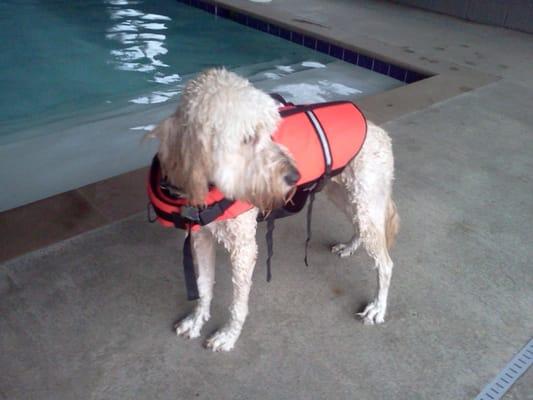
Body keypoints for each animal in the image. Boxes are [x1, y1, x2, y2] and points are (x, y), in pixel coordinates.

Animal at [148, 69, 396, 354]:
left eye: (270, 133)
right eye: (247, 138)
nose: (294, 176)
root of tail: (380, 133)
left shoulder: (243, 249)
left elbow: (237, 305)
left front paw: (228, 336)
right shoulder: (200, 238)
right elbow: (203, 287)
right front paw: (197, 320)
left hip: (366, 202)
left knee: (385, 263)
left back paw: (378, 308)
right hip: (346, 197)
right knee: (359, 227)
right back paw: (351, 246)